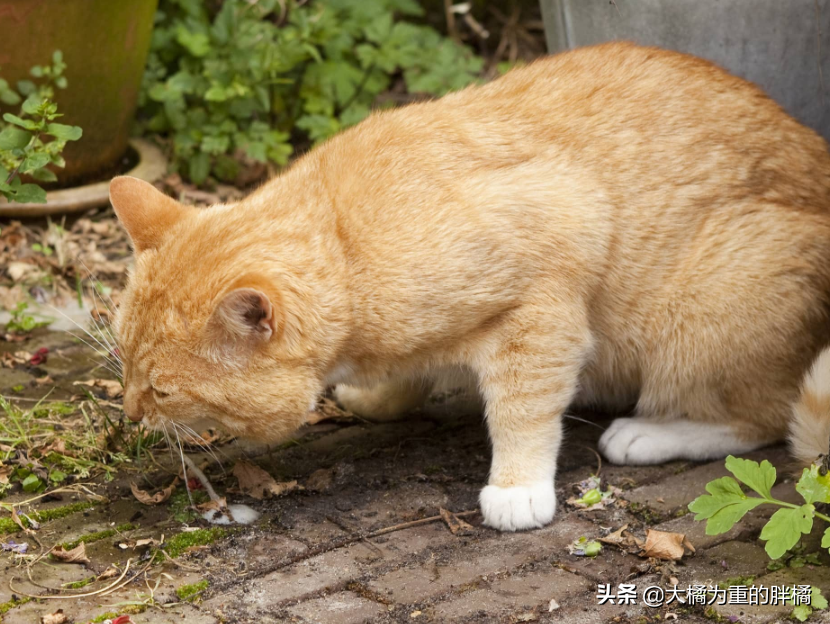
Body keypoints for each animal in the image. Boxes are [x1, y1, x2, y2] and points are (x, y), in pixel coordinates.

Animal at [107, 41, 830, 528]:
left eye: (163, 390)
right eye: (125, 369)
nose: (132, 414)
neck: (346, 237)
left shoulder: (546, 298)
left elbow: (523, 410)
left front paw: (517, 488)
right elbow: (407, 377)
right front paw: (383, 396)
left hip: (701, 316)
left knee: (763, 422)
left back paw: (649, 433)